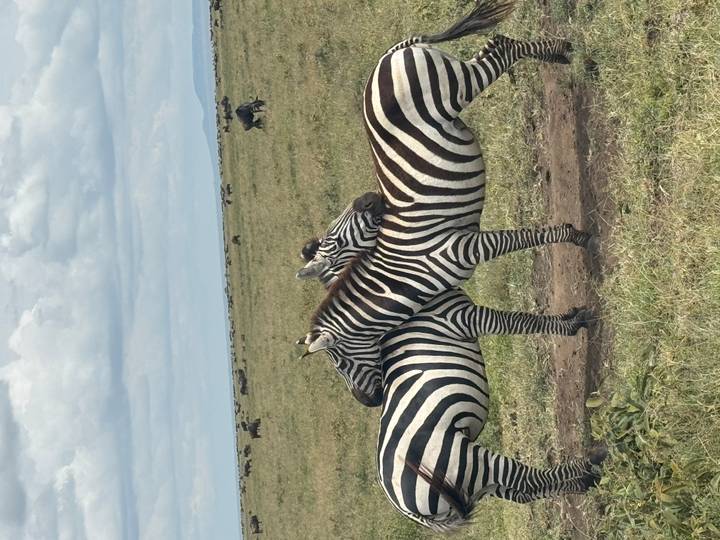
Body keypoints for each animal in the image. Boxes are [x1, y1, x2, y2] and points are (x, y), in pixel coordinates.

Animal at [296, 200, 605, 530]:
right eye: (339, 365)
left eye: (334, 232)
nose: (370, 400)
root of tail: (407, 508)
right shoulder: (463, 319)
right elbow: (520, 322)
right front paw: (571, 325)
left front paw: (567, 319)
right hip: (466, 462)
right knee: (525, 480)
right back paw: (591, 466)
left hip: (472, 482)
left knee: (524, 491)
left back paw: (585, 479)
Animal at [301, 2, 591, 380]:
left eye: (342, 366)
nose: (371, 395)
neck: (405, 276)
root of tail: (390, 54)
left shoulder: (465, 247)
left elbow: (526, 239)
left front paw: (576, 237)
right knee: (497, 46)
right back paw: (557, 53)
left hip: (454, 86)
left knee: (502, 48)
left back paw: (560, 51)